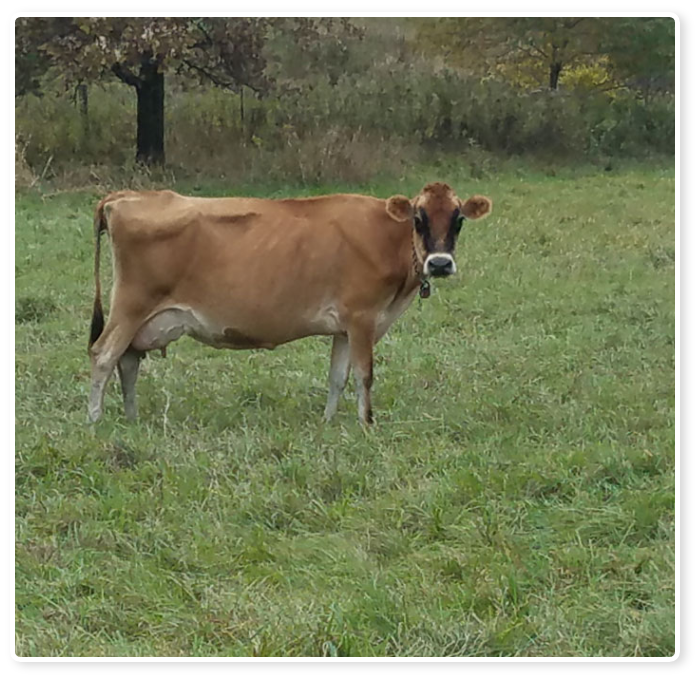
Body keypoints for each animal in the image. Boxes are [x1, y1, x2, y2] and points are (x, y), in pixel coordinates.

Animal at [89, 183, 492, 422]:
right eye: (418, 218)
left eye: (458, 220)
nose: (439, 263)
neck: (386, 237)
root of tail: (126, 195)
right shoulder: (362, 317)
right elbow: (364, 375)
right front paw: (367, 423)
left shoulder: (344, 327)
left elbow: (337, 377)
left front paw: (328, 423)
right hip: (131, 305)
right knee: (104, 356)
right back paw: (95, 422)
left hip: (141, 318)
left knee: (127, 360)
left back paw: (132, 420)